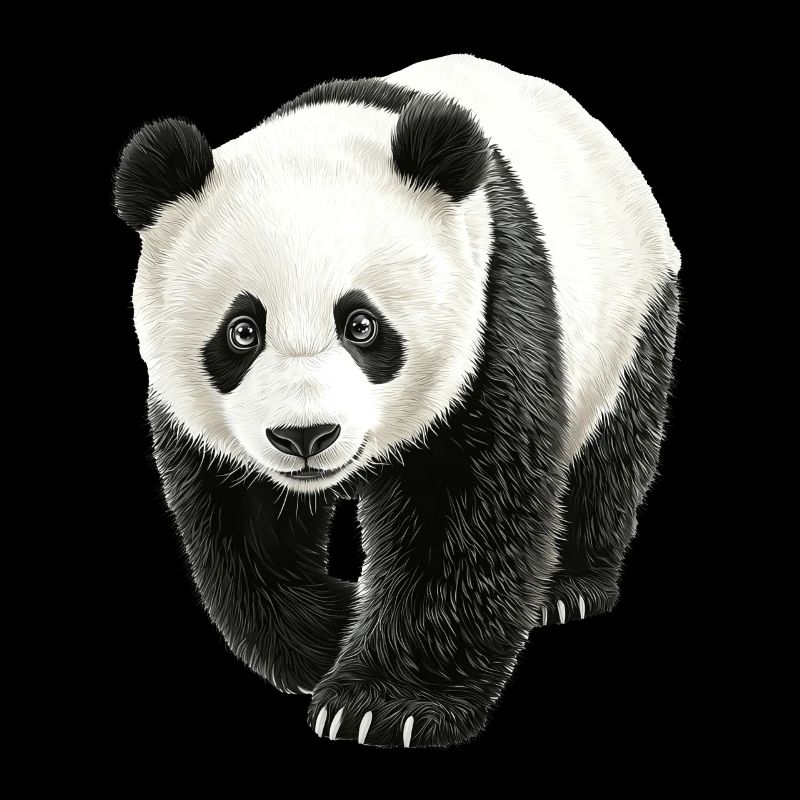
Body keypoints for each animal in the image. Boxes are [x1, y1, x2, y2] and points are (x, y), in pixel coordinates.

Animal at [115, 54, 680, 748]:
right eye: (242, 332)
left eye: (361, 325)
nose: (305, 436)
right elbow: (239, 523)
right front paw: (326, 637)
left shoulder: (492, 313)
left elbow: (462, 512)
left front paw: (383, 707)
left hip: (627, 314)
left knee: (611, 448)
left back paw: (569, 588)